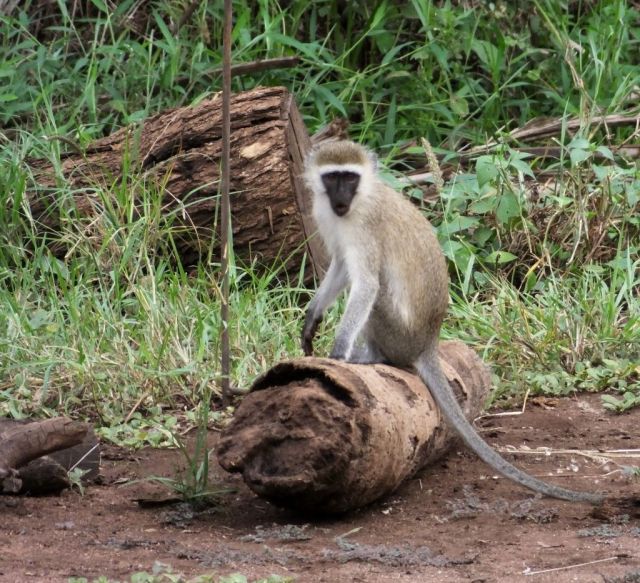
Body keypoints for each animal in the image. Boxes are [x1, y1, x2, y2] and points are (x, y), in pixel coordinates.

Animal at [301, 140, 603, 505]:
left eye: (350, 178)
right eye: (332, 178)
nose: (341, 200)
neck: (356, 203)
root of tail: (429, 341)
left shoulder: (365, 225)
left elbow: (366, 284)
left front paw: (339, 350)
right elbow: (341, 268)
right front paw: (312, 318)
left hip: (400, 333)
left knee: (380, 296)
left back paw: (373, 356)